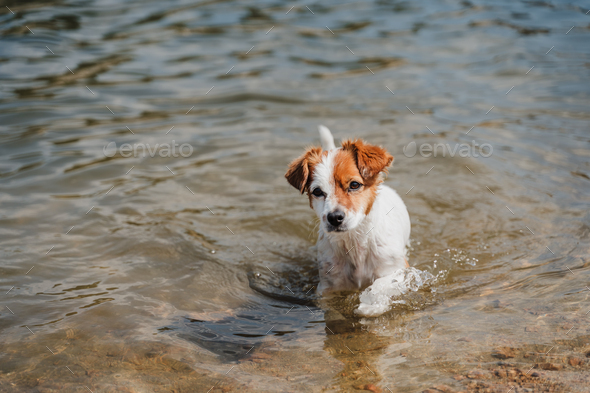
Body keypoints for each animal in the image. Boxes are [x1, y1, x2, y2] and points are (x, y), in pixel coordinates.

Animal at [286, 125, 412, 298]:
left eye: (354, 185)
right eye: (317, 191)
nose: (334, 218)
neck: (354, 242)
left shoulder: (397, 270)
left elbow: (378, 287)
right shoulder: (328, 285)